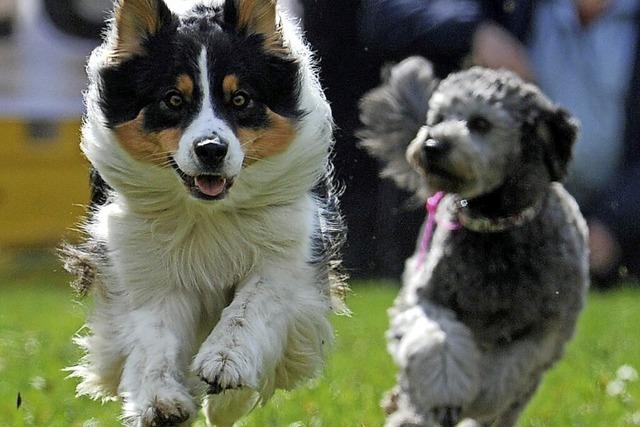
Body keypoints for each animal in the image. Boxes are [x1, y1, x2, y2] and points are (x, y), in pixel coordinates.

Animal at [358, 56, 588, 427]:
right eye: (438, 117)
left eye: (480, 122)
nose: (432, 145)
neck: (495, 226)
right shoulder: (427, 297)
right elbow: (439, 342)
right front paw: (444, 397)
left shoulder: (546, 328)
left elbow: (510, 367)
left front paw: (482, 397)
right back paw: (408, 413)